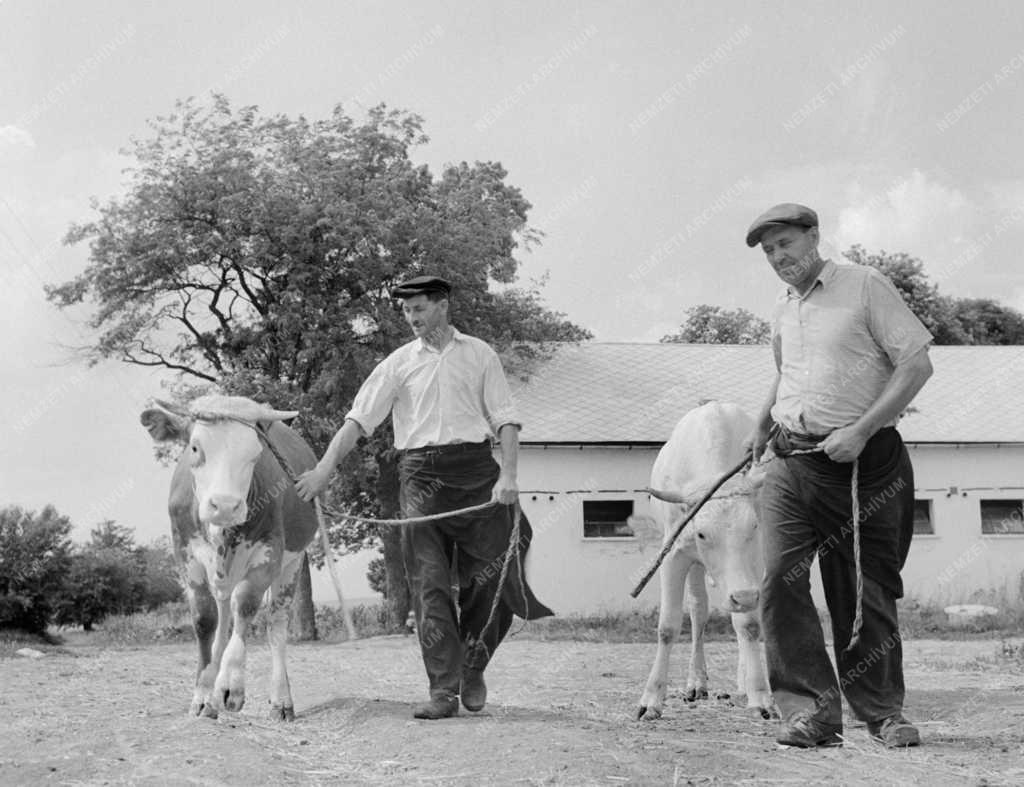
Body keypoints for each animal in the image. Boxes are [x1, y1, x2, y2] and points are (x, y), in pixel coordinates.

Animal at [142, 397, 321, 720]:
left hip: (293, 563)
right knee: (223, 616)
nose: (225, 505)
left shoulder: (269, 553)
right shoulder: (185, 554)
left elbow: (246, 605)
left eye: (256, 453)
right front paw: (203, 696)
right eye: (195, 447)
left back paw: (281, 700)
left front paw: (229, 684)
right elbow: (205, 620)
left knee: (275, 624)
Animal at [630, 401, 774, 720]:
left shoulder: (755, 561)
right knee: (698, 609)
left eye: (754, 526)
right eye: (701, 533)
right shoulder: (673, 555)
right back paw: (696, 682)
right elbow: (668, 627)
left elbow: (748, 624)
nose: (744, 596)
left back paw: (744, 683)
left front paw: (760, 695)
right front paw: (651, 699)